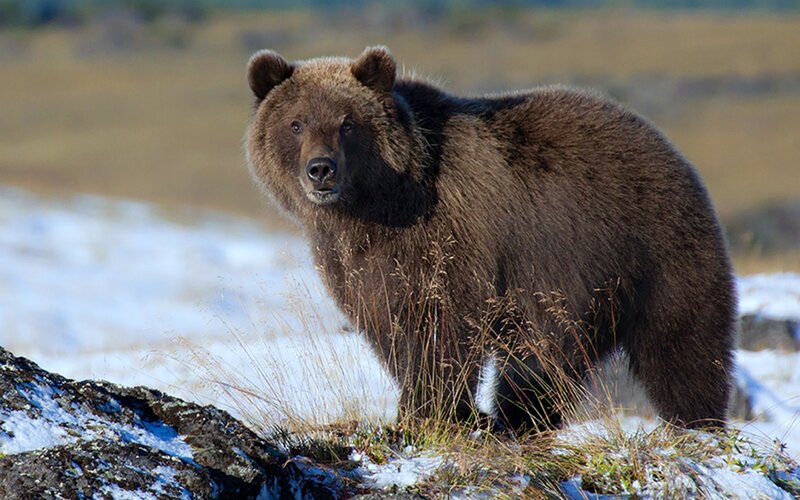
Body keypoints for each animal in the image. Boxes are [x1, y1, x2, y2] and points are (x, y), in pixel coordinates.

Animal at [245, 46, 736, 432]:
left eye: (348, 123)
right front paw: (447, 411)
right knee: (544, 364)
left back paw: (696, 423)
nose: (321, 169)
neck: (374, 206)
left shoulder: (450, 240)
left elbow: (440, 328)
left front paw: (428, 411)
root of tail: (663, 142)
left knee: (682, 347)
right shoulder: (360, 262)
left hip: (650, 248)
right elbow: (389, 328)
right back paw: (519, 419)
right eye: (296, 123)